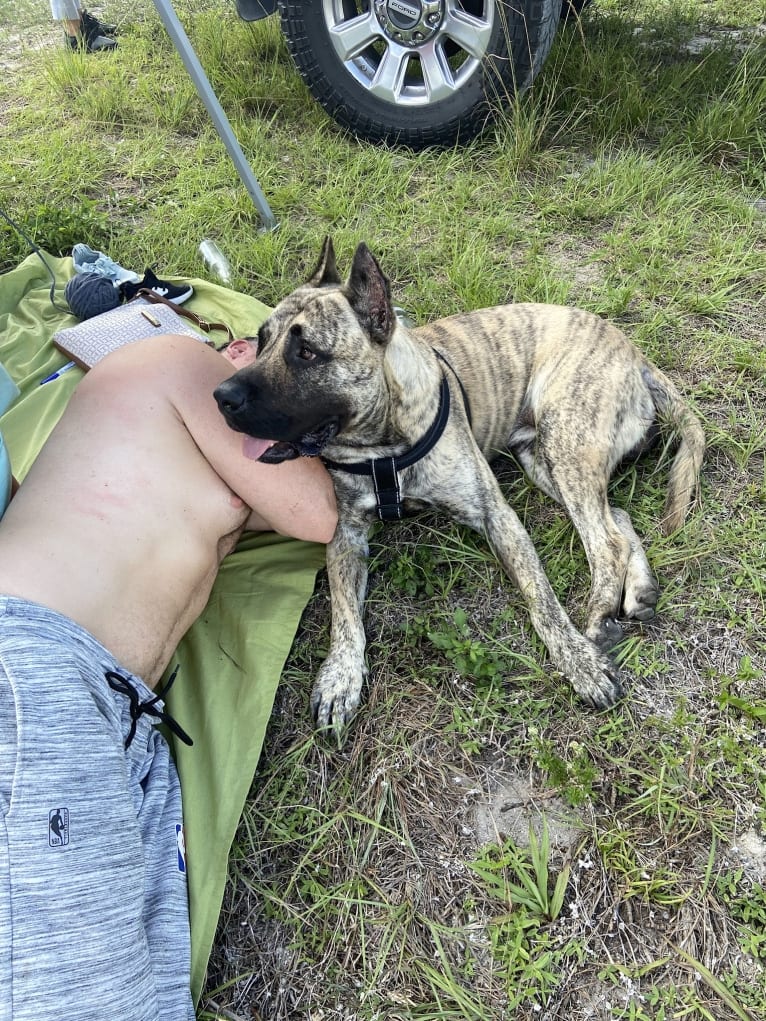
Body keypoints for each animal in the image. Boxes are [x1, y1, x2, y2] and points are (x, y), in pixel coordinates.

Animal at [216, 238, 706, 735]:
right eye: (261, 341)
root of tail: (635, 354)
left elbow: (542, 600)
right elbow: (344, 614)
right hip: (542, 459)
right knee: (615, 517)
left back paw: (600, 616)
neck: (384, 445)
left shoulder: (497, 516)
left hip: (566, 441)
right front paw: (340, 677)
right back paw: (639, 590)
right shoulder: (346, 536)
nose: (221, 395)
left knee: (604, 541)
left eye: (308, 353)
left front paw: (578, 662)